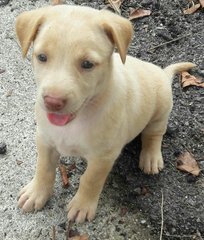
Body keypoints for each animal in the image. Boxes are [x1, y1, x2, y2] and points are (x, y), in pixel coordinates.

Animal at [15, 4, 194, 222]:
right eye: (41, 57)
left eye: (87, 64)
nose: (52, 102)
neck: (78, 119)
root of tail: (162, 72)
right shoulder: (45, 139)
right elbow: (43, 169)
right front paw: (36, 193)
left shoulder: (103, 156)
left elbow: (90, 180)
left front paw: (82, 205)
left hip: (161, 109)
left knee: (154, 134)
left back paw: (150, 157)